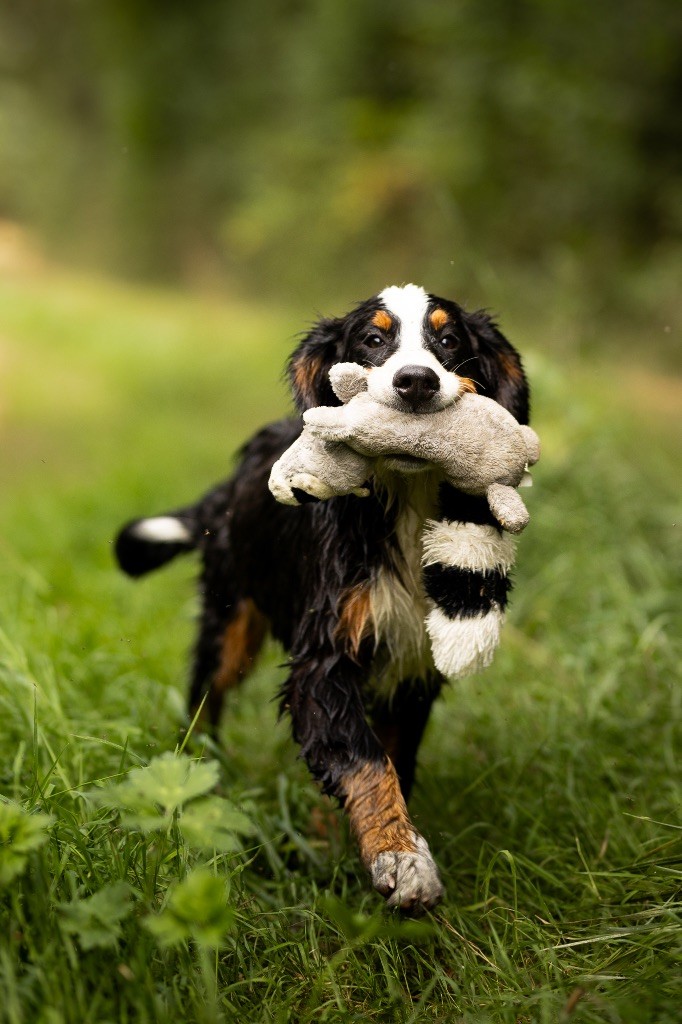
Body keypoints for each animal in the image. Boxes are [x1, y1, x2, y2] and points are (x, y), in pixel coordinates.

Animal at [114, 282, 528, 913]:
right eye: (373, 340)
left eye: (450, 340)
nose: (415, 382)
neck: (402, 502)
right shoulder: (324, 661)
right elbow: (365, 761)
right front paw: (401, 860)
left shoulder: (412, 667)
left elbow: (391, 760)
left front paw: (353, 840)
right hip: (230, 618)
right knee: (205, 701)